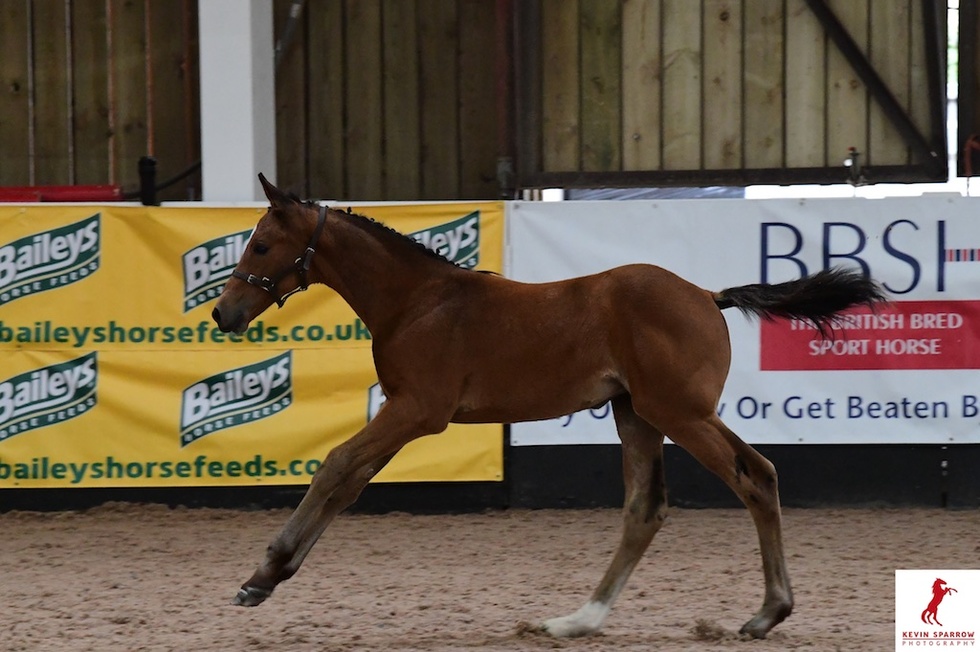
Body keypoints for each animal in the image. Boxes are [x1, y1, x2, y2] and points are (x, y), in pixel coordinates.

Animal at [212, 174, 888, 639]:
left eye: (263, 245)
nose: (223, 313)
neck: (418, 301)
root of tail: (704, 294)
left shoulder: (416, 410)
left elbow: (334, 465)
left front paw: (261, 573)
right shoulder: (404, 414)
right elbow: (349, 480)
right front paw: (271, 577)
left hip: (681, 413)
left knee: (755, 476)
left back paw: (767, 612)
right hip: (637, 414)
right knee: (646, 509)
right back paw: (577, 620)